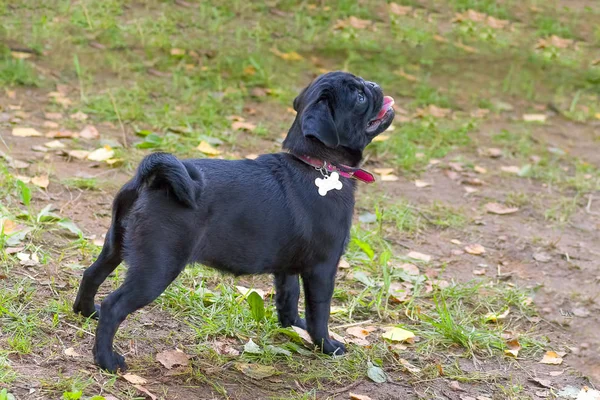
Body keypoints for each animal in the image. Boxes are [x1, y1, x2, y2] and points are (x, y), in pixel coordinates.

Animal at [72, 71, 394, 372]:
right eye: (360, 97)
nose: (374, 85)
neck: (318, 165)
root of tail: (152, 180)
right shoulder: (323, 267)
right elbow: (320, 312)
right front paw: (327, 345)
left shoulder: (286, 268)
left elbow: (288, 299)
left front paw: (293, 326)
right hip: (157, 266)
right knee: (115, 306)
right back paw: (107, 360)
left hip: (116, 244)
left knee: (92, 274)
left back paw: (86, 311)